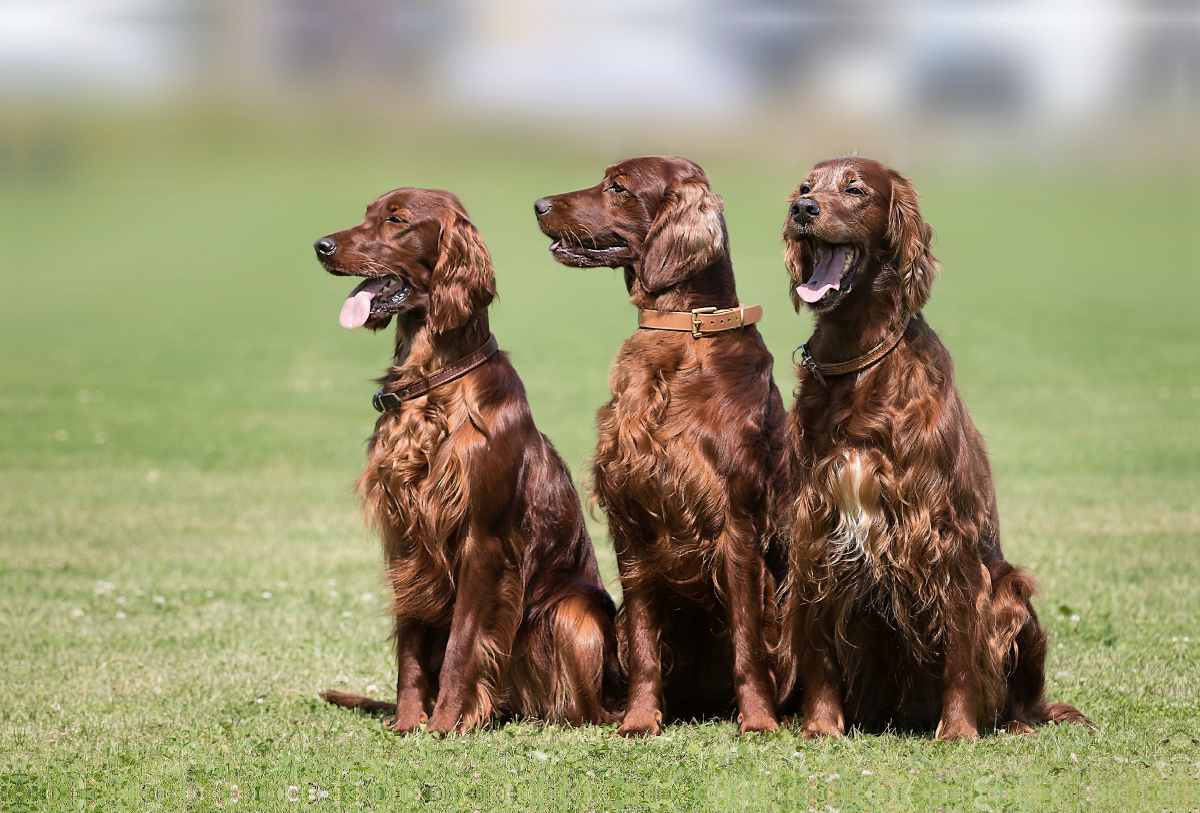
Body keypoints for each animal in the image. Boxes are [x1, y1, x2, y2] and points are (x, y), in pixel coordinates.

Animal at [312, 189, 619, 733]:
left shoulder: (483, 540)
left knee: (586, 711)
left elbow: (462, 643)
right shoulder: (406, 535)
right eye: (367, 212)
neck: (433, 383)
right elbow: (410, 648)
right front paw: (408, 722)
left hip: (573, 615)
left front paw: (443, 724)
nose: (321, 246)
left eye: (396, 219)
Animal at [540, 154, 792, 738]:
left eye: (618, 187)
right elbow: (644, 644)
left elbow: (748, 639)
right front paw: (638, 718)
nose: (539, 204)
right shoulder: (632, 518)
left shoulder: (737, 521)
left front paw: (758, 720)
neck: (681, 333)